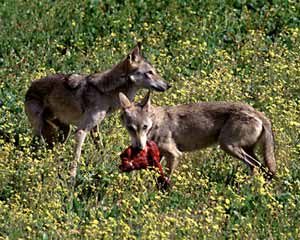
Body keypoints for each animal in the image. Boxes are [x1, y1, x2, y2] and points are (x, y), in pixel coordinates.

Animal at [24, 43, 170, 178]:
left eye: (154, 71)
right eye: (150, 72)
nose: (169, 85)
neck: (105, 92)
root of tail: (30, 87)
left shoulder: (94, 128)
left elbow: (101, 148)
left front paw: (106, 166)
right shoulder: (81, 131)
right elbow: (76, 158)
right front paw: (71, 180)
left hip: (64, 131)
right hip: (41, 132)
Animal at [119, 92, 276, 182]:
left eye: (145, 127)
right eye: (131, 128)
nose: (139, 147)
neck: (156, 123)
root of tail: (258, 112)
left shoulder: (175, 154)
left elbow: (166, 180)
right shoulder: (159, 157)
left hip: (227, 146)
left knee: (256, 166)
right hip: (243, 149)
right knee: (262, 168)